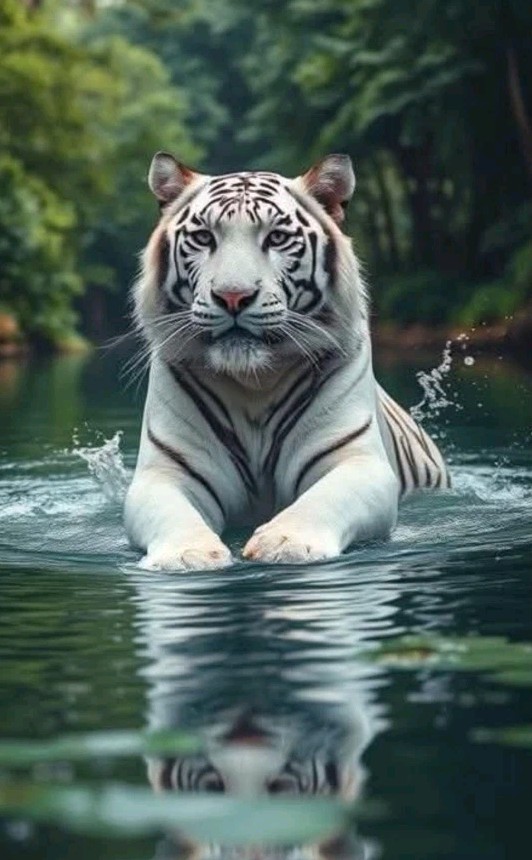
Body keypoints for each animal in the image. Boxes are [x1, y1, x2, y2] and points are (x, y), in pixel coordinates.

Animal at [125, 151, 450, 570]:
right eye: (204, 238)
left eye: (276, 238)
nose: (232, 296)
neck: (253, 382)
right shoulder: (166, 470)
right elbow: (173, 513)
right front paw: (187, 555)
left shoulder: (357, 460)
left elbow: (322, 500)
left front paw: (285, 542)